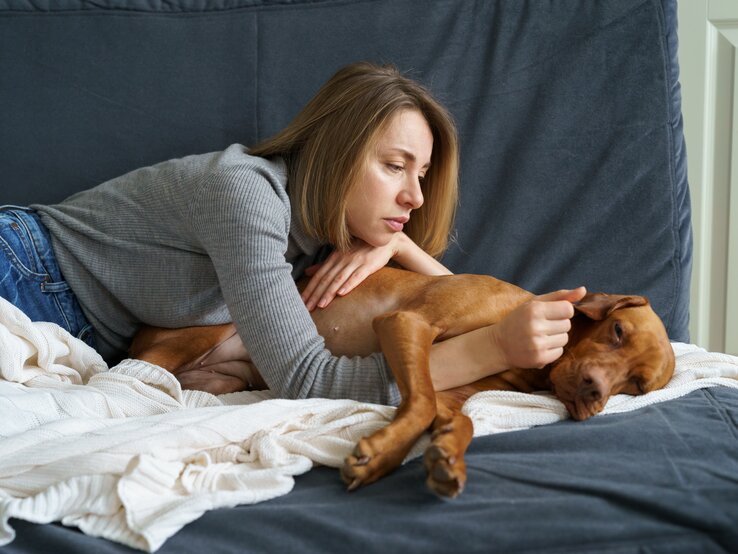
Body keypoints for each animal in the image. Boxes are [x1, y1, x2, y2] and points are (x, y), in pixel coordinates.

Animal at [128, 266, 672, 494]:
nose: (595, 392)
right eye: (617, 331)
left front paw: (447, 455)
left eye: (637, 385)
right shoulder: (406, 324)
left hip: (224, 377)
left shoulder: (455, 392)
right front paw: (381, 455)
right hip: (196, 334)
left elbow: (457, 418)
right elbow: (423, 402)